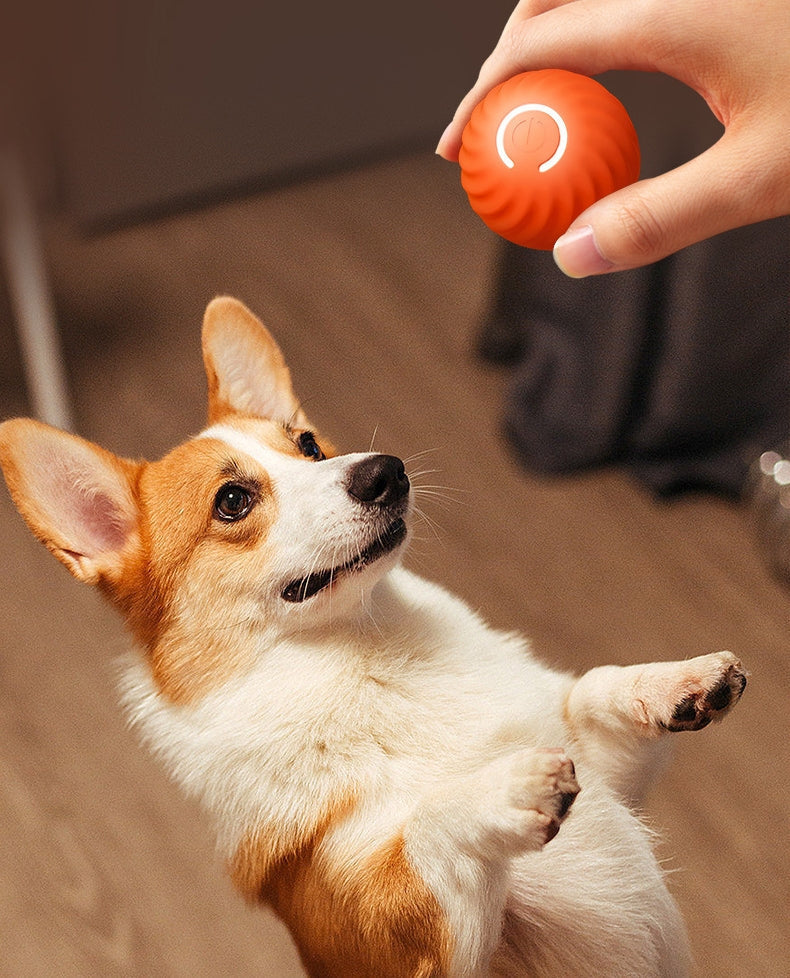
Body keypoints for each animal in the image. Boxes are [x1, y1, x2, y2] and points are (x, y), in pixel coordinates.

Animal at [0, 298, 748, 976]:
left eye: (308, 445)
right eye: (233, 502)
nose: (385, 469)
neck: (371, 654)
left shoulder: (612, 781)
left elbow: (592, 692)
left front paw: (681, 682)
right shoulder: (393, 940)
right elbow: (429, 825)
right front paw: (504, 786)